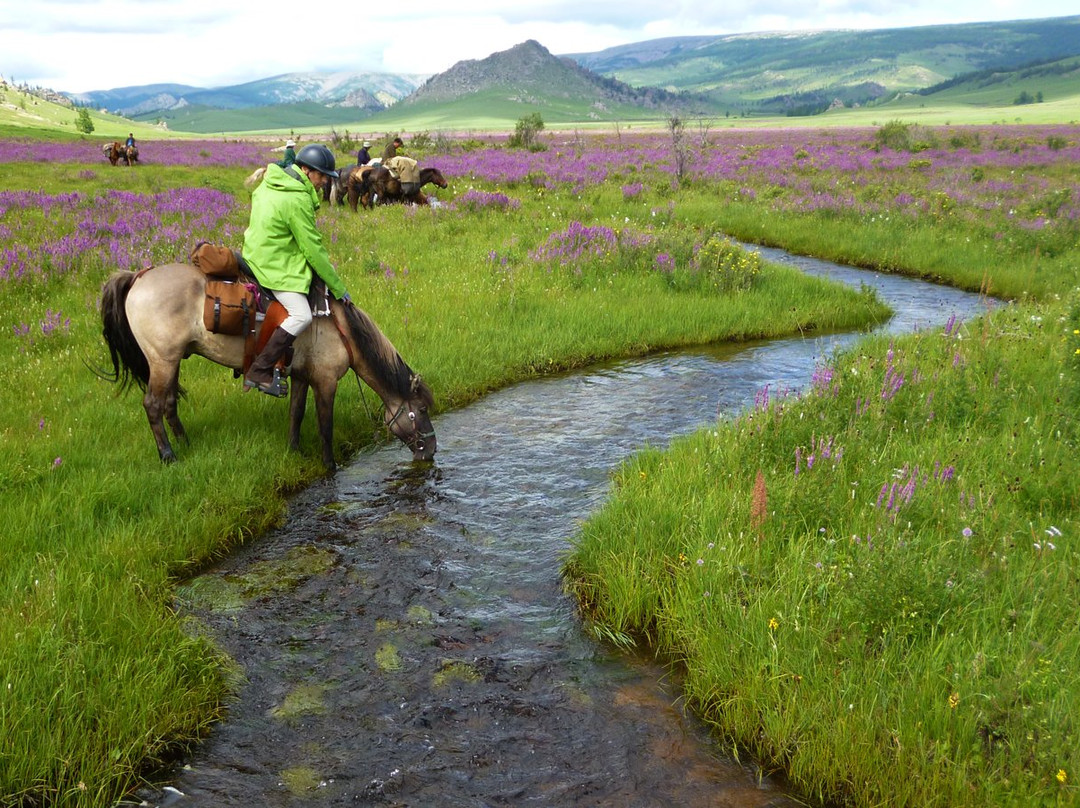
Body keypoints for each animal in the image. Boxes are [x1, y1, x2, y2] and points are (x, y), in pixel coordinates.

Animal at [99, 262, 436, 470]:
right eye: (420, 410)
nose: (431, 451)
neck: (343, 331)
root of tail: (139, 276)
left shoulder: (301, 376)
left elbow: (296, 414)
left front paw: (294, 451)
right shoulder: (326, 382)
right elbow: (325, 427)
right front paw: (330, 465)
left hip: (170, 362)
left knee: (168, 403)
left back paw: (185, 443)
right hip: (163, 360)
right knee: (153, 405)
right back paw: (168, 456)